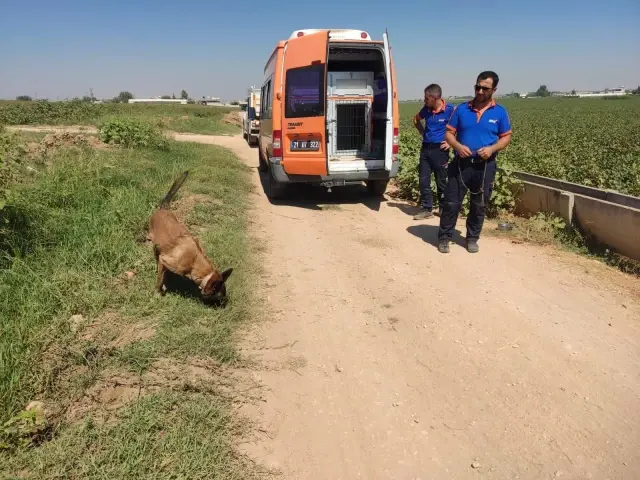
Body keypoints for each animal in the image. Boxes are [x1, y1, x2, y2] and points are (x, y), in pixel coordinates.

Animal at [148, 171, 232, 302]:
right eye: (219, 297)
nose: (223, 304)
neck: (194, 261)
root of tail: (164, 208)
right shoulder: (164, 260)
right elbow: (160, 280)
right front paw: (158, 292)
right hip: (154, 242)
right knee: (156, 255)